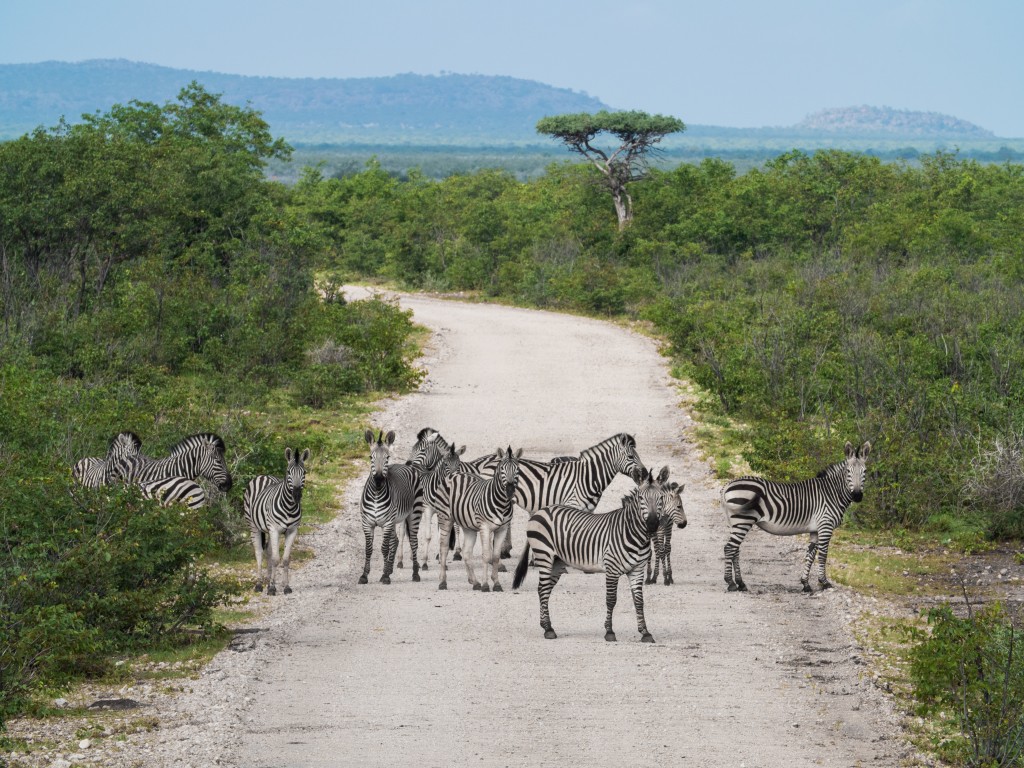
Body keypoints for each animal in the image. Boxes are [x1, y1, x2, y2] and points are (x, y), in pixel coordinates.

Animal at [242, 444, 307, 593]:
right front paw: (272, 588)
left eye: (304, 473)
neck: (289, 507)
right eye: (288, 472)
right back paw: (259, 584)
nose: (296, 495)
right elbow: (276, 559)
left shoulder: (292, 531)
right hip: (254, 526)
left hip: (268, 529)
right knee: (259, 553)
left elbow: (285, 559)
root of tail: (262, 475)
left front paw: (285, 586)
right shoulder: (275, 530)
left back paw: (268, 580)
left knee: (268, 551)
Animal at [360, 430, 423, 585]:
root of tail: (407, 465)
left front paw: (384, 576)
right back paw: (390, 569)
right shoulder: (367, 523)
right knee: (396, 541)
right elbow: (368, 549)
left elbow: (384, 548)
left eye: (387, 457)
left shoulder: (387, 523)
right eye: (370, 457)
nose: (378, 480)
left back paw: (415, 574)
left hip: (414, 514)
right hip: (395, 520)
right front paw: (364, 575)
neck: (376, 495)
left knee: (413, 542)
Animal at [436, 448, 524, 593]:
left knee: (466, 552)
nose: (510, 490)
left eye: (517, 469)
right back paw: (443, 582)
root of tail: (454, 474)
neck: (502, 503)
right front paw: (485, 585)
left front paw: (496, 584)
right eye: (502, 469)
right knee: (443, 548)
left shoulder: (502, 529)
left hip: (468, 526)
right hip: (445, 518)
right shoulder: (485, 527)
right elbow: (486, 555)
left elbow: (495, 556)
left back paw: (475, 582)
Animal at [509, 468, 663, 643]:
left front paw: (645, 633)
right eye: (640, 498)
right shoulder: (612, 569)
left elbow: (639, 602)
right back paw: (548, 629)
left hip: (557, 561)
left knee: (545, 589)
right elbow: (611, 600)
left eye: (661, 498)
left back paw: (547, 627)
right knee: (542, 589)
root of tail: (540, 511)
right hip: (544, 556)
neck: (633, 533)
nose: (652, 524)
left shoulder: (637, 570)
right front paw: (609, 632)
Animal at [720, 438, 872, 593]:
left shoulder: (815, 529)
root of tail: (727, 486)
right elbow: (823, 554)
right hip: (743, 521)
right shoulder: (825, 525)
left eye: (865, 471)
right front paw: (824, 582)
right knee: (729, 548)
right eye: (848, 471)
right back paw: (731, 583)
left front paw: (805, 584)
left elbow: (810, 555)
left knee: (735, 550)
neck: (832, 493)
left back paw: (740, 583)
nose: (857, 496)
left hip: (735, 522)